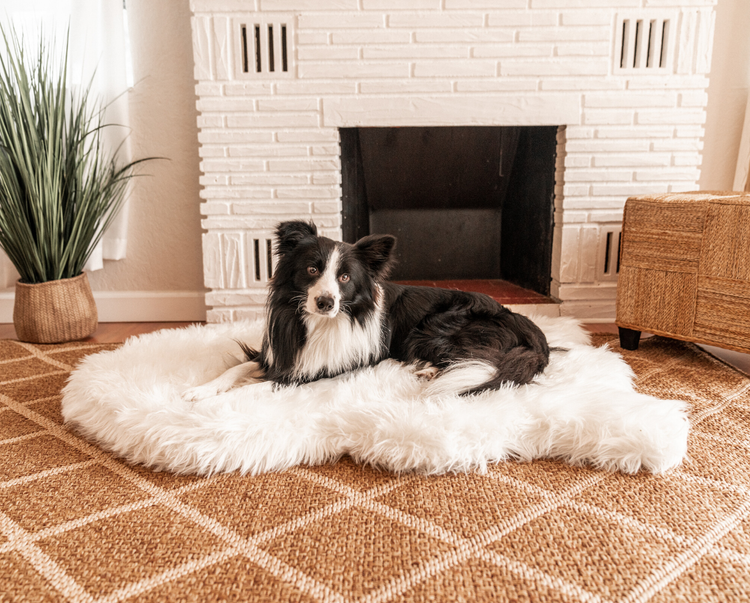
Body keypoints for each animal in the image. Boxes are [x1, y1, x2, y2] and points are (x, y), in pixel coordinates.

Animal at [185, 222, 548, 402]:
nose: (326, 302)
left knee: (479, 361)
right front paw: (198, 390)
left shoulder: (319, 371)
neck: (320, 323)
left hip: (435, 327)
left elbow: (257, 385)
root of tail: (523, 322)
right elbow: (236, 369)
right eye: (312, 269)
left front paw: (221, 401)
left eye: (345, 277)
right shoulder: (278, 354)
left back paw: (430, 371)